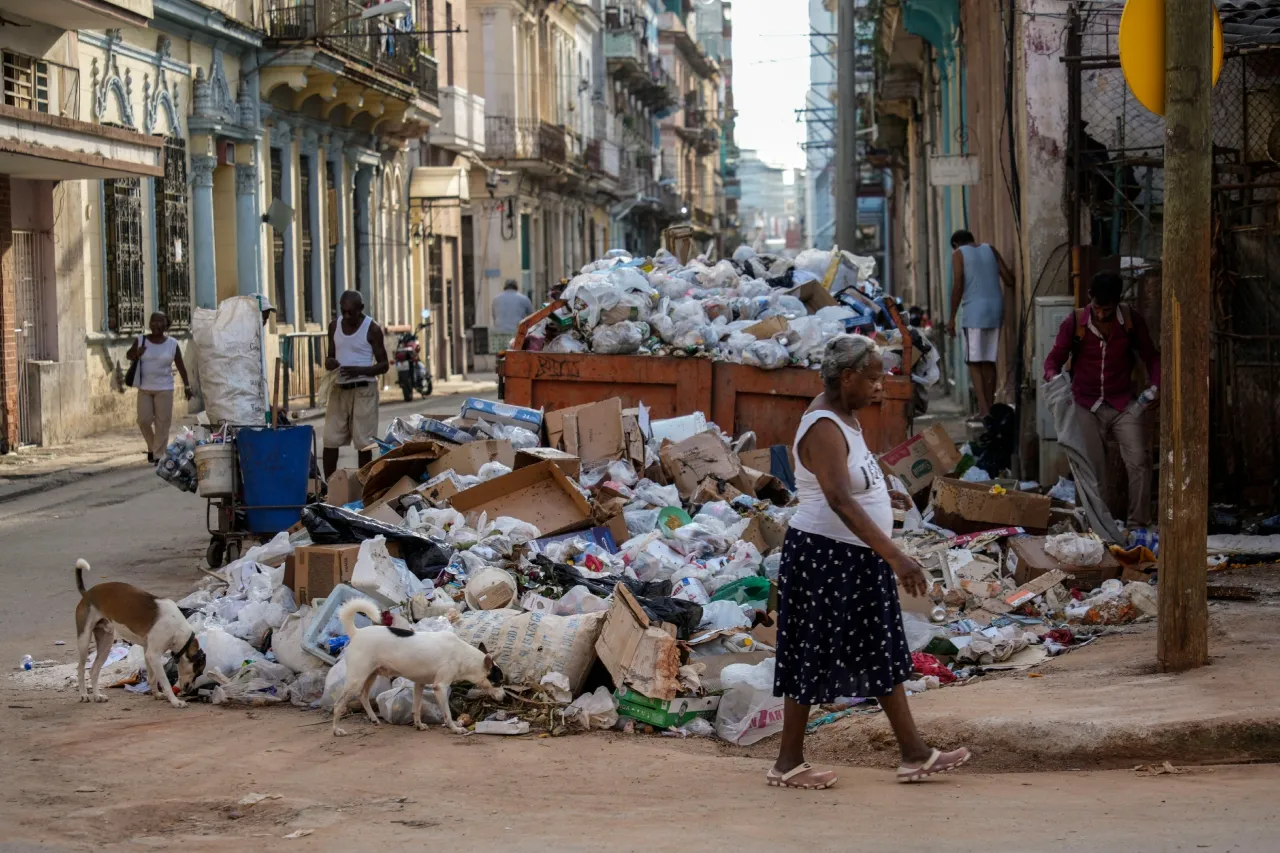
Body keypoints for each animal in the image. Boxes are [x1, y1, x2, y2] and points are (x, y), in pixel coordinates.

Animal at [73, 558, 203, 701]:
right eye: (198, 672)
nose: (190, 690)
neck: (178, 630)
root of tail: (86, 594)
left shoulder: (148, 652)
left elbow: (152, 677)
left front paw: (156, 694)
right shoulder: (153, 655)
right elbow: (165, 682)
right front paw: (175, 702)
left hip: (105, 642)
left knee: (94, 670)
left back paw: (97, 696)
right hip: (84, 640)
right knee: (80, 669)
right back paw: (84, 694)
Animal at [330, 596, 504, 732]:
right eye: (498, 682)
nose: (504, 697)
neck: (463, 655)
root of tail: (357, 633)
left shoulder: (419, 684)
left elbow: (417, 708)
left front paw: (419, 725)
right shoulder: (440, 687)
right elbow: (447, 714)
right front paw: (455, 728)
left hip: (370, 675)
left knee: (363, 696)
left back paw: (373, 718)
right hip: (356, 679)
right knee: (338, 705)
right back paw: (337, 730)